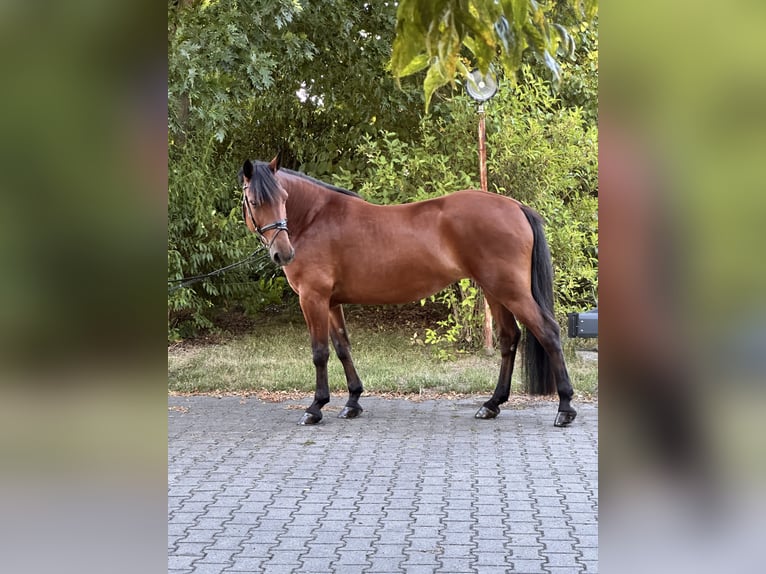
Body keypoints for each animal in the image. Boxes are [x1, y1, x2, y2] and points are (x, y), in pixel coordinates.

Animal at [238, 155, 577, 427]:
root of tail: (515, 206)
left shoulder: (313, 298)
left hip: (511, 290)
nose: (283, 253)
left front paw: (315, 408)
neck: (315, 218)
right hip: (494, 291)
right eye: (255, 202)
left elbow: (320, 352)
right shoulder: (331, 302)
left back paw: (565, 408)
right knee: (509, 338)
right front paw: (352, 402)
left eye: (283, 198)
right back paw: (491, 404)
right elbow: (343, 347)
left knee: (548, 332)